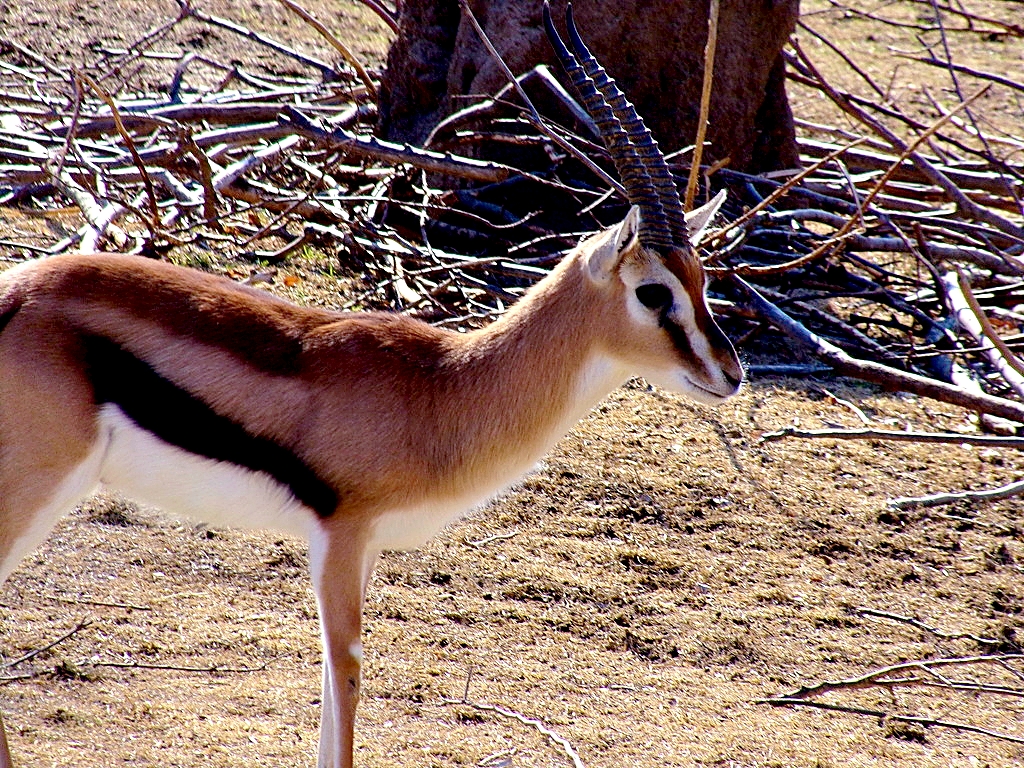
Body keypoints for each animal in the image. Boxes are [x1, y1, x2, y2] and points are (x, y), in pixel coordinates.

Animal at [0, 5, 742, 766]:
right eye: (654, 293)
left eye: (701, 280)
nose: (730, 374)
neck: (443, 389)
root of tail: (17, 293)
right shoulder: (342, 533)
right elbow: (348, 672)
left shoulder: (365, 548)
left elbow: (336, 682)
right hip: (35, 483)